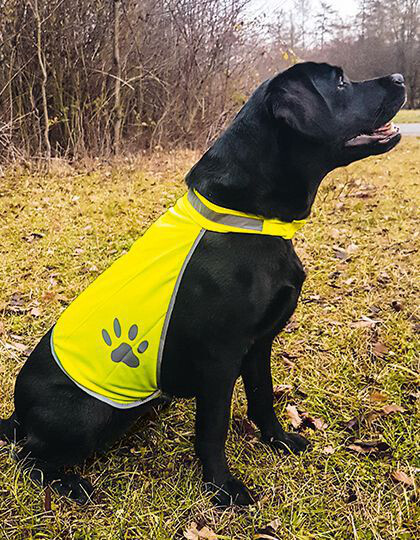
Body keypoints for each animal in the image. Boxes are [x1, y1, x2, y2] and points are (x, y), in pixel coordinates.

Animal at [0, 62, 406, 506]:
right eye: (340, 82)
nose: (401, 79)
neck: (249, 218)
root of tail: (17, 415)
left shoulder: (259, 344)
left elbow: (263, 398)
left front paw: (279, 441)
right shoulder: (220, 358)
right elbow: (214, 429)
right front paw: (223, 488)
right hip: (85, 416)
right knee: (28, 457)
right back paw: (71, 483)